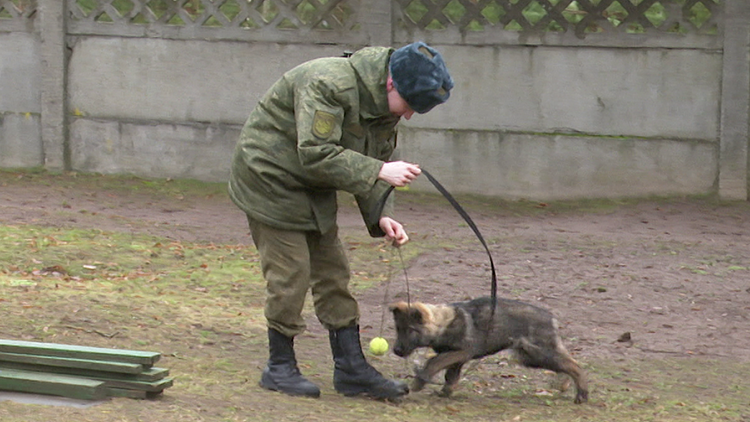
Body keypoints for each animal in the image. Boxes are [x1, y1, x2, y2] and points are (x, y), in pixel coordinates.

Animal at [390, 296, 592, 404]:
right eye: (398, 329)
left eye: (410, 330)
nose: (396, 351)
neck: (443, 323)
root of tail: (551, 317)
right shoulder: (458, 359)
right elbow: (451, 376)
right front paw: (445, 392)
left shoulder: (461, 352)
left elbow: (434, 362)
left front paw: (419, 381)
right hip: (531, 357)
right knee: (566, 365)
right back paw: (566, 385)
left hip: (540, 353)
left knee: (574, 366)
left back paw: (582, 394)